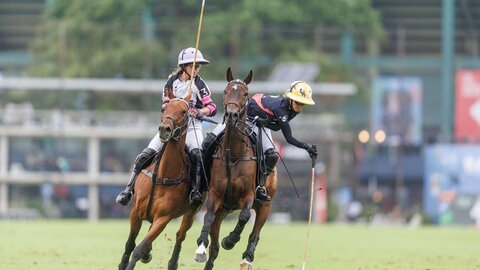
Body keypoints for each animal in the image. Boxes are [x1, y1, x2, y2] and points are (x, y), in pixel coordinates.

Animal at [120, 97, 202, 270]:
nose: (165, 129)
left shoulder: (163, 218)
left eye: (184, 111)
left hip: (192, 211)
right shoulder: (136, 212)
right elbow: (130, 244)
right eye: (165, 109)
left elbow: (138, 249)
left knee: (180, 235)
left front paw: (142, 254)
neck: (161, 175)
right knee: (143, 156)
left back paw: (172, 262)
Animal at [194, 67, 278, 270]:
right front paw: (200, 248)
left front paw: (230, 240)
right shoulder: (215, 194)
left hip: (265, 204)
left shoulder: (249, 195)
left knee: (255, 233)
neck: (233, 155)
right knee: (215, 245)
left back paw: (247, 257)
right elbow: (208, 217)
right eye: (225, 91)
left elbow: (245, 216)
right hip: (224, 208)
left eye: (245, 93)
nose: (231, 115)